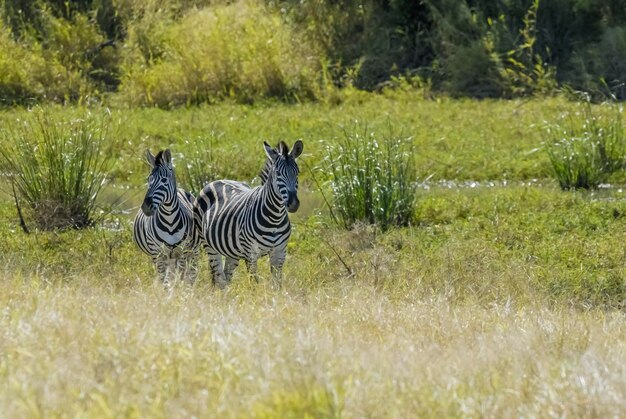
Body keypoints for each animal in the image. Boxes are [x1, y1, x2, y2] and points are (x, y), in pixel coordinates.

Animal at [132, 149, 199, 288]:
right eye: (148, 179)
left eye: (164, 180)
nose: (146, 207)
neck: (169, 221)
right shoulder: (157, 253)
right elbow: (165, 279)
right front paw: (168, 292)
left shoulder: (182, 251)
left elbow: (180, 277)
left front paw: (179, 291)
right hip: (167, 256)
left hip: (191, 251)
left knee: (191, 272)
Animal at [194, 141, 304, 288]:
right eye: (278, 173)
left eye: (297, 172)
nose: (293, 204)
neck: (274, 218)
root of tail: (217, 180)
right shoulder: (251, 254)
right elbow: (254, 283)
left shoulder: (280, 252)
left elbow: (277, 285)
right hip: (209, 245)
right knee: (219, 278)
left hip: (231, 250)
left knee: (227, 276)